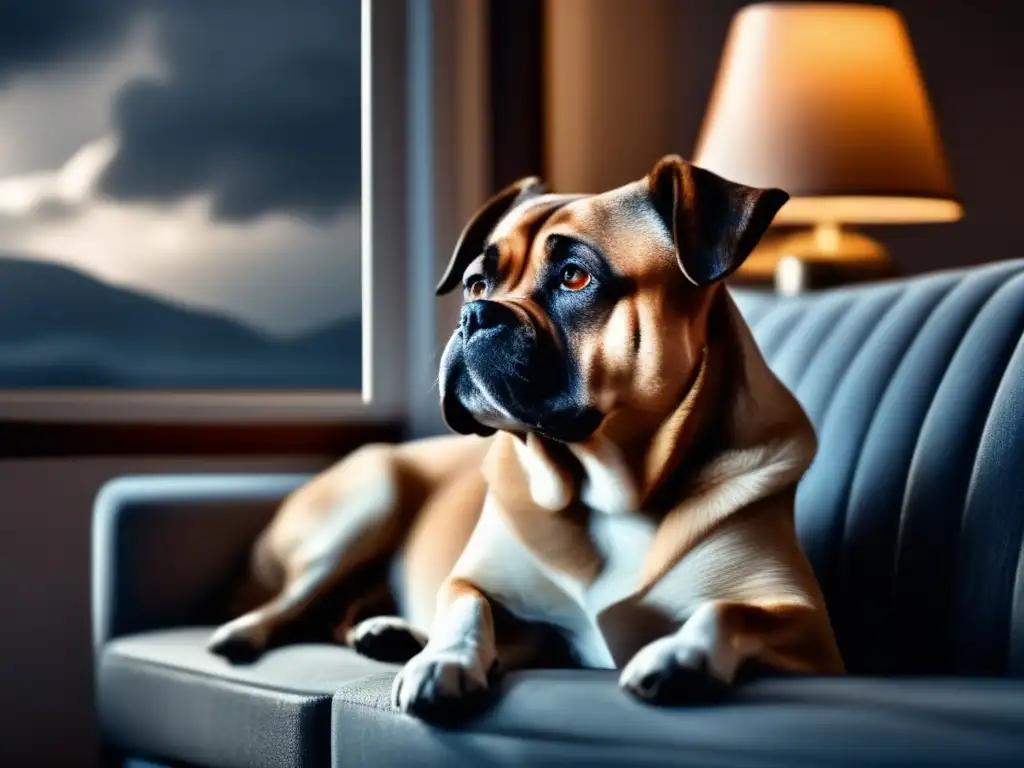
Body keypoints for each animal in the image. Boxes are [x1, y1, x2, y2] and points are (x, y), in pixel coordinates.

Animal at [209, 154, 847, 720]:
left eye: (575, 277)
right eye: (475, 282)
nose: (474, 315)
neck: (609, 484)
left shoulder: (806, 627)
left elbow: (731, 612)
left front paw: (681, 656)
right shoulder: (493, 596)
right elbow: (465, 607)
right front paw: (445, 660)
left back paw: (387, 632)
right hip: (370, 500)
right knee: (294, 599)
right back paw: (247, 633)